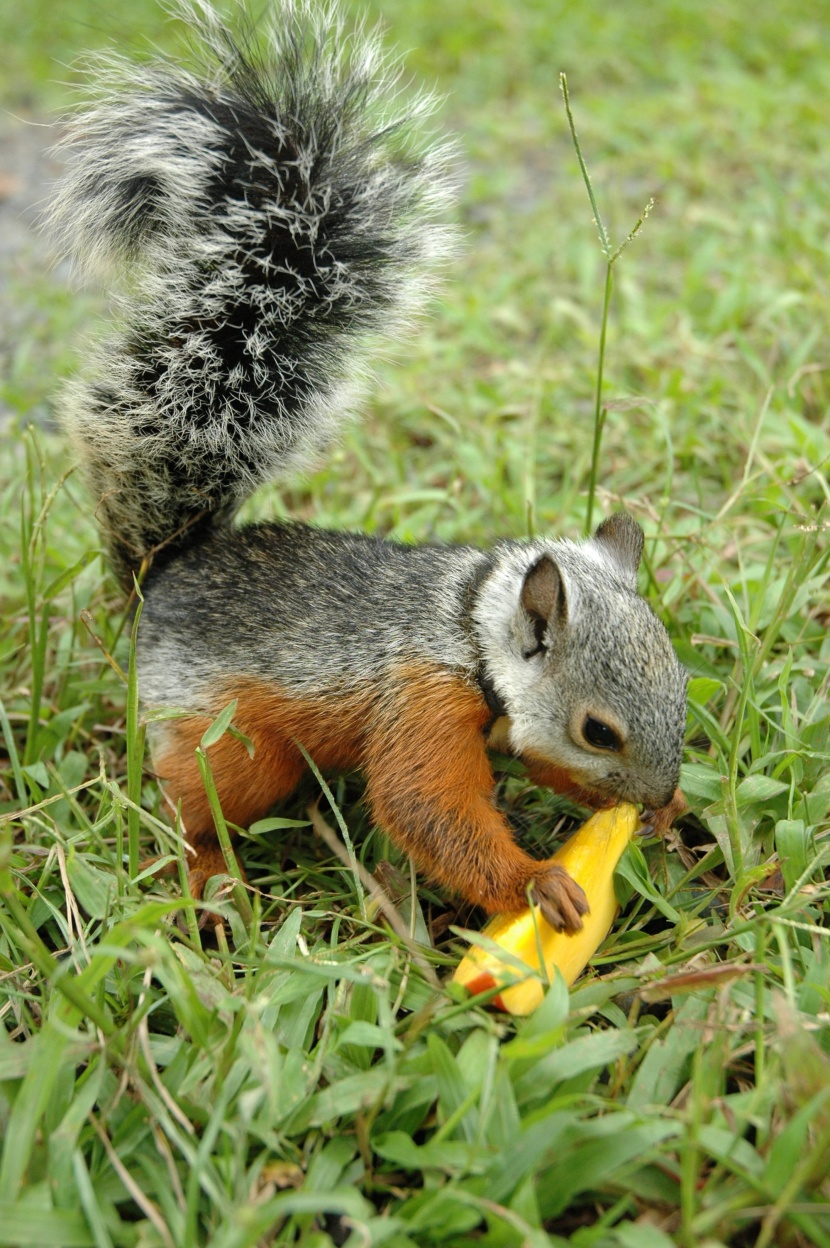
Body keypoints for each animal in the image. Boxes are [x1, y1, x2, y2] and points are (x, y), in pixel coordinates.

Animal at [48, 0, 688, 933]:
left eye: (681, 686)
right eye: (598, 730)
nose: (660, 796)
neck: (471, 625)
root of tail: (162, 574)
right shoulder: (419, 700)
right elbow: (425, 807)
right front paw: (538, 884)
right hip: (229, 740)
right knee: (196, 808)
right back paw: (211, 877)